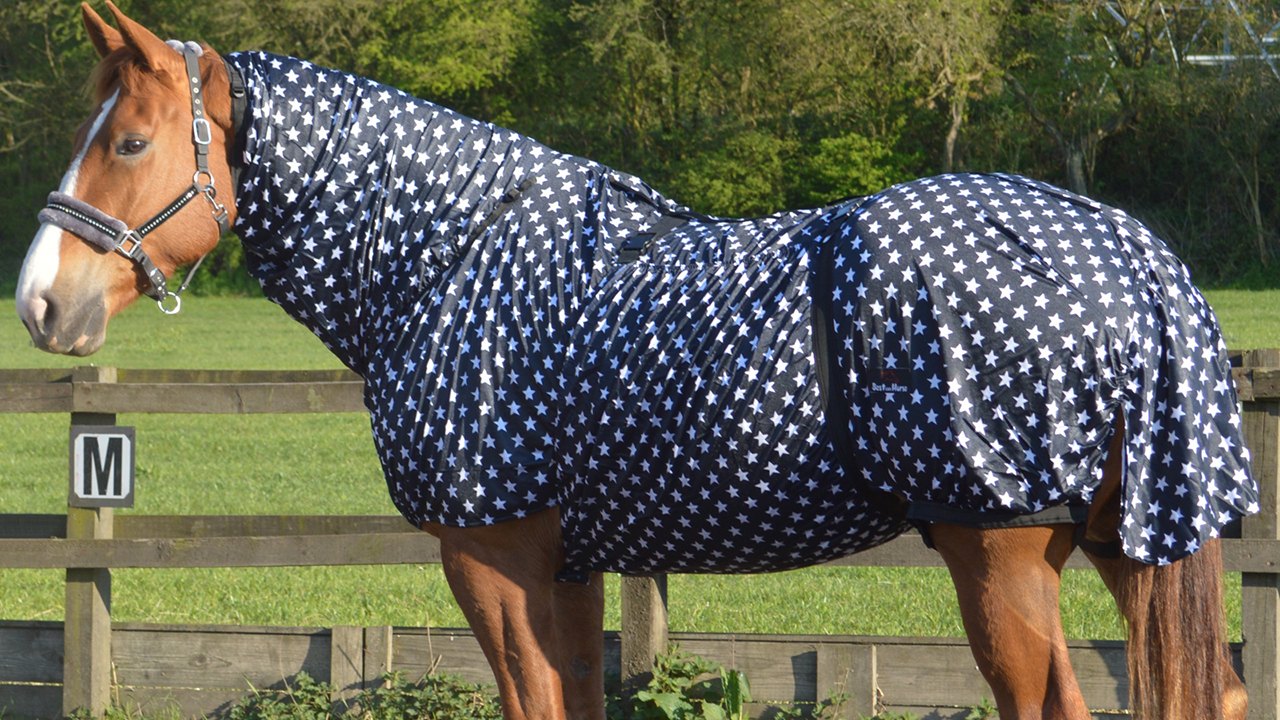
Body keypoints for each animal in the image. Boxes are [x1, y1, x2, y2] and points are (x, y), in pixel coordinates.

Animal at [15, 3, 1260, 719]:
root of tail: (1128, 247)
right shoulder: (565, 570)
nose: (40, 302)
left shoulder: (494, 557)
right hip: (1120, 541)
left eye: (130, 140)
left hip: (998, 551)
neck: (449, 259)